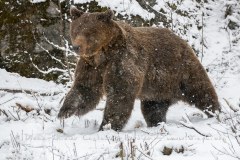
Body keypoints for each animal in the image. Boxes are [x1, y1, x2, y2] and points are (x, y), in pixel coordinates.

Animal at [57, 6, 220, 131]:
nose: (76, 47)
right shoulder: (92, 66)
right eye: (76, 30)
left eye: (89, 32)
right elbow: (85, 89)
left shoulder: (122, 61)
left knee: (201, 91)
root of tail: (182, 40)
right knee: (153, 108)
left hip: (181, 69)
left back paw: (216, 113)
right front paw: (64, 112)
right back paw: (156, 123)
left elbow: (120, 93)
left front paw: (107, 125)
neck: (103, 53)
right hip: (156, 88)